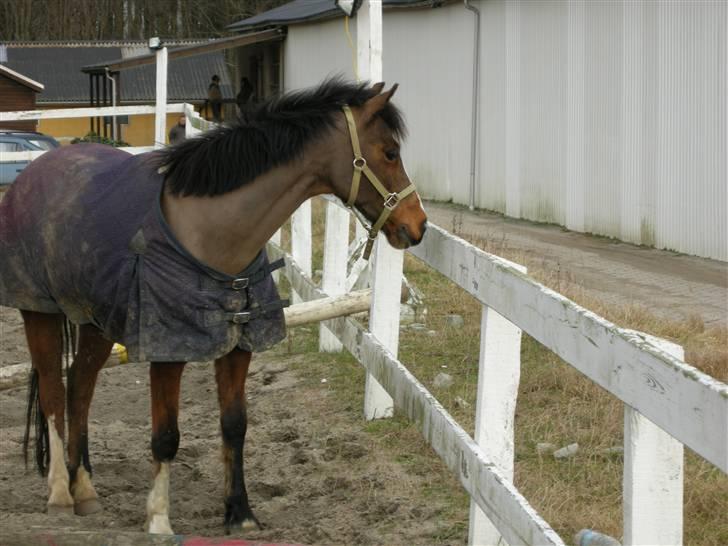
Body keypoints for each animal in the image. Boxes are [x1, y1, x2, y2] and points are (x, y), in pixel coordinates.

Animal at [0, 78, 427, 535]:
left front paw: (240, 513)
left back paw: (85, 489)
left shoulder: (239, 347)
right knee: (52, 391)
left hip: (96, 320)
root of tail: (36, 170)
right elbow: (166, 436)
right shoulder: (168, 352)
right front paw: (159, 520)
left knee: (80, 386)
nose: (418, 225)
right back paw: (60, 494)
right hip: (40, 313)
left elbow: (235, 425)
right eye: (390, 153)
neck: (210, 233)